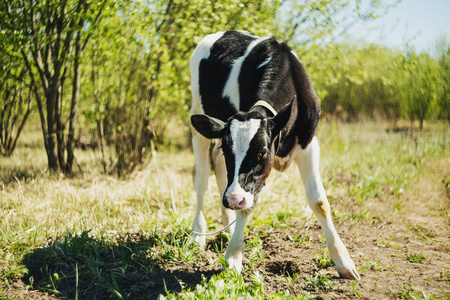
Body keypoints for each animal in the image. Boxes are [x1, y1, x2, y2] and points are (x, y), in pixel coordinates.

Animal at [189, 30, 358, 278]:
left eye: (262, 151)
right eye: (228, 149)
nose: (233, 199)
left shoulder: (309, 145)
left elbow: (319, 201)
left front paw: (343, 261)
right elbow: (249, 205)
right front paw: (233, 258)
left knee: (219, 169)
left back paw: (227, 224)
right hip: (198, 118)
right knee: (201, 180)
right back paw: (198, 234)